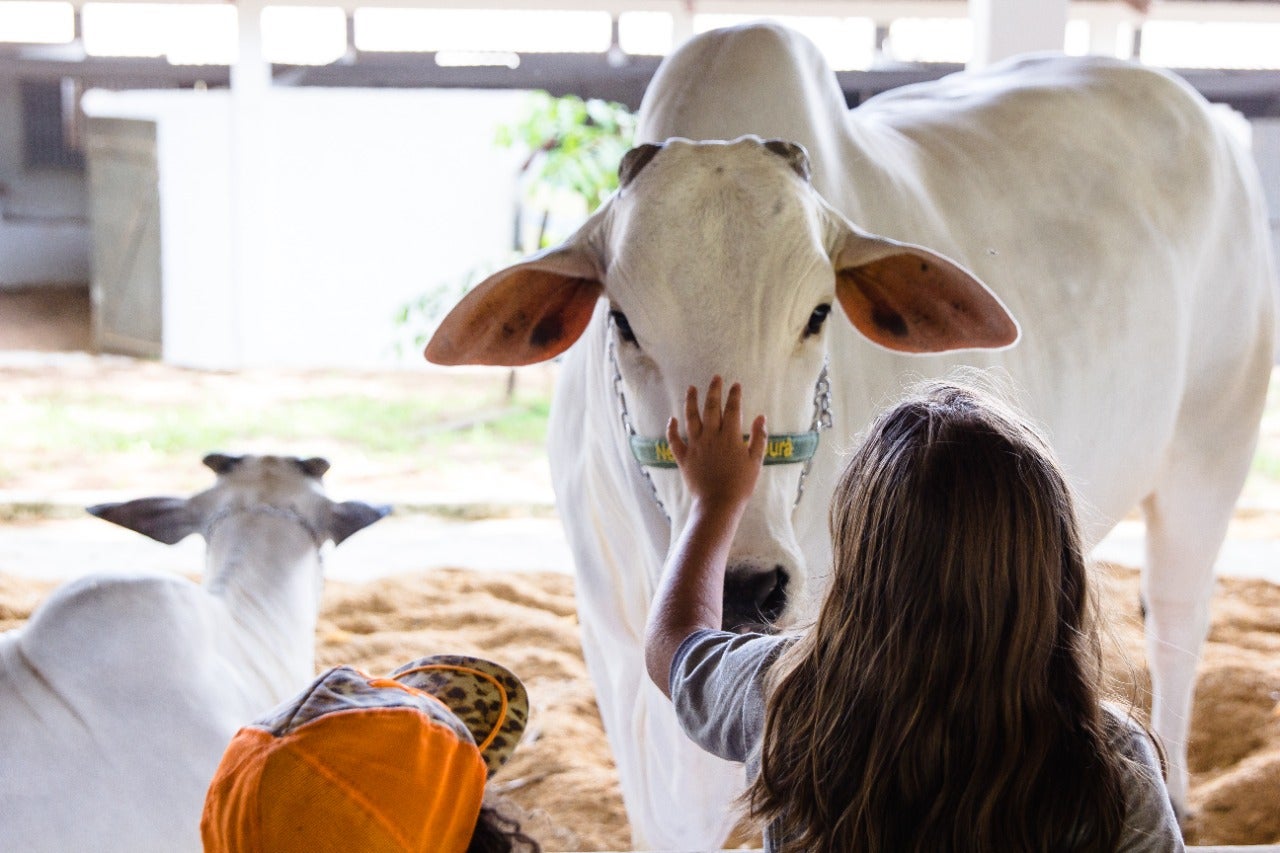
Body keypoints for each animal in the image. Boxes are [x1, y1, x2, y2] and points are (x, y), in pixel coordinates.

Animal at [425, 24, 1276, 849]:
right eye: (623, 321)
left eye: (817, 313)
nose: (744, 585)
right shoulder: (605, 634)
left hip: (1214, 444)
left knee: (1179, 613)